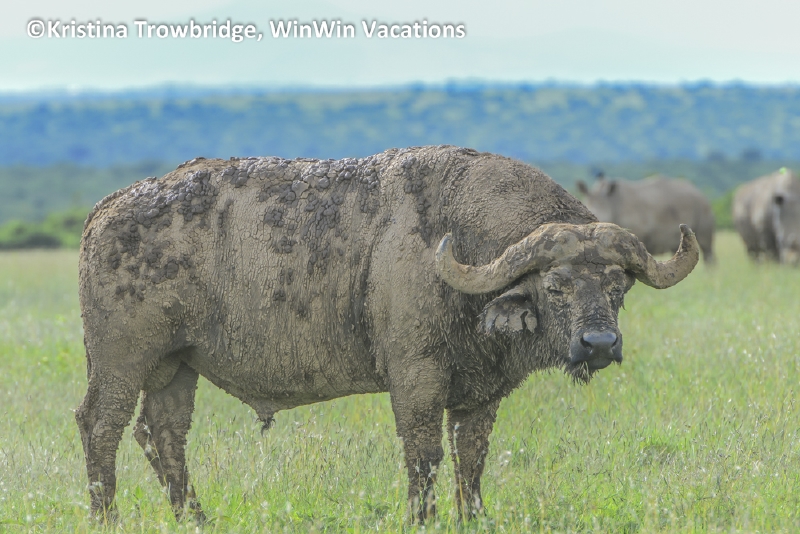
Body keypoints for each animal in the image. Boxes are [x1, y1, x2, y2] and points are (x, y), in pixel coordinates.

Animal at [75, 146, 699, 524]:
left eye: (618, 285)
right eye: (557, 285)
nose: (599, 345)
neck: (461, 249)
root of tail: (105, 210)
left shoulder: (480, 397)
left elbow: (470, 460)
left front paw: (474, 518)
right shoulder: (416, 383)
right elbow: (423, 459)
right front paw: (421, 519)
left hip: (176, 368)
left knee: (162, 435)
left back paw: (197, 518)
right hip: (120, 363)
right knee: (100, 428)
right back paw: (107, 517)